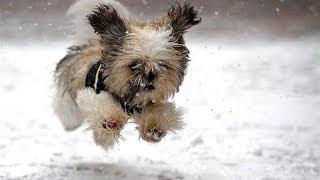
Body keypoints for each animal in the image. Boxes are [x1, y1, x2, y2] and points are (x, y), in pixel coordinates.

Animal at [53, 0, 201, 149]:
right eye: (133, 65)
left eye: (163, 65)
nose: (150, 77)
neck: (129, 100)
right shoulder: (92, 93)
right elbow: (102, 103)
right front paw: (111, 119)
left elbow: (162, 112)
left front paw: (153, 129)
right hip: (68, 105)